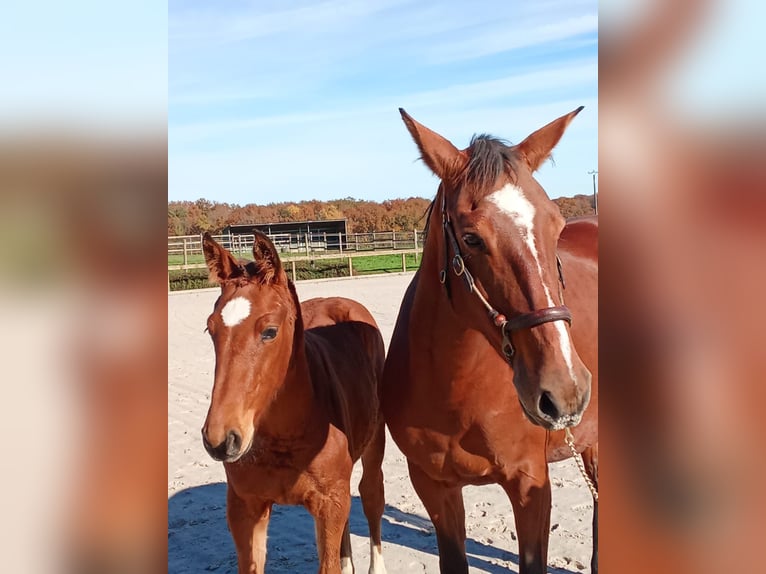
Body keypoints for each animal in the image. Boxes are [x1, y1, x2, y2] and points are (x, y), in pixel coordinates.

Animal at [200, 231, 388, 574]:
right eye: (211, 328)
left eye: (270, 331)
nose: (220, 439)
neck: (284, 437)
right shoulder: (245, 507)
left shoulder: (329, 504)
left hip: (375, 438)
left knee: (371, 495)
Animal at [381, 108, 598, 574]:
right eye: (471, 237)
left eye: (555, 226)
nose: (565, 390)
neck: (457, 390)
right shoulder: (434, 486)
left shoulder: (530, 484)